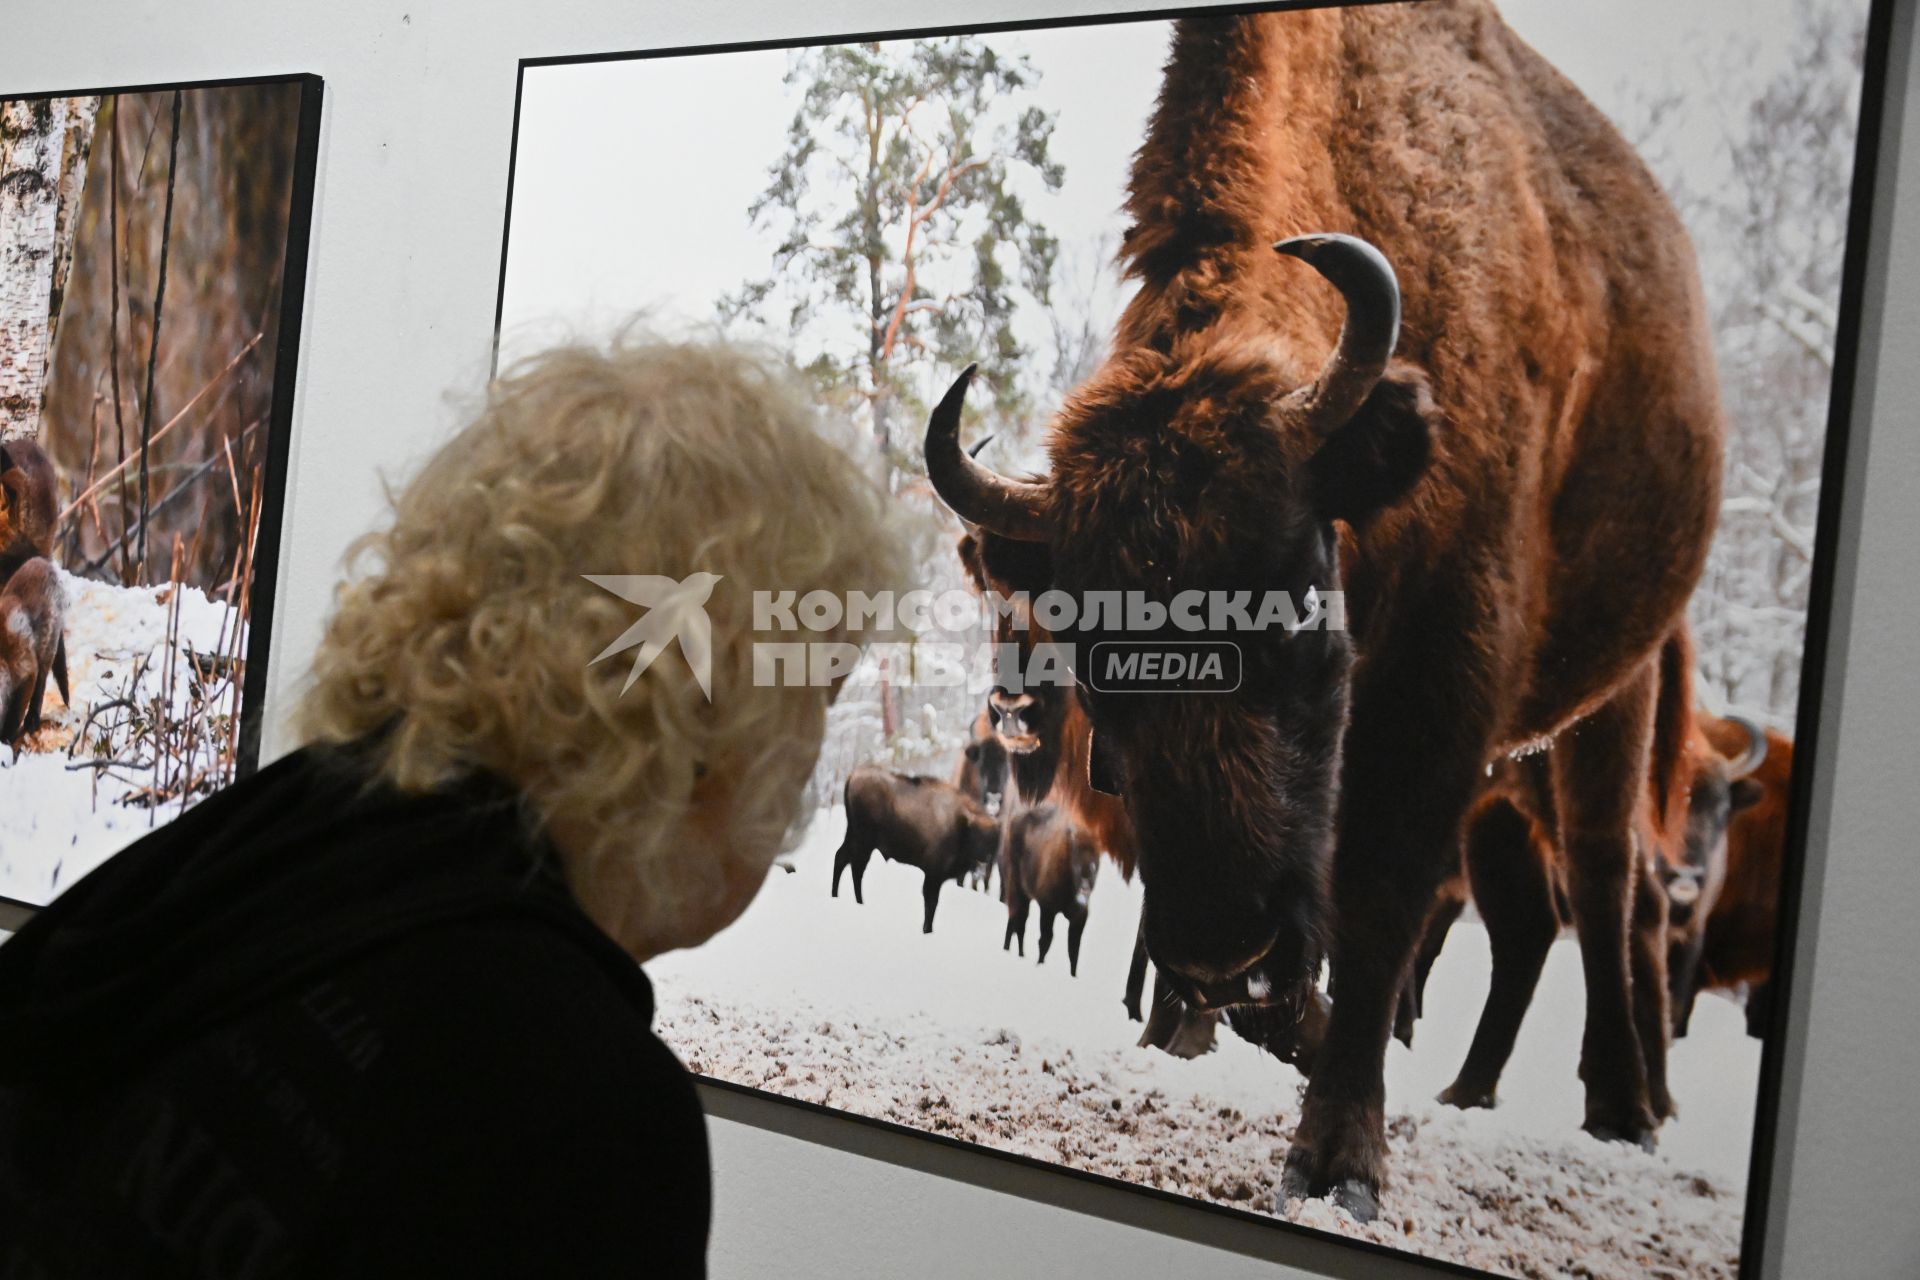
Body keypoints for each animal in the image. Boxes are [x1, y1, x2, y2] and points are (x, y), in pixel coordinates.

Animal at [0, 556, 70, 752]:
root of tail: (40, 561)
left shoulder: (26, 671)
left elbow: (14, 717)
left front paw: (5, 739)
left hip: (47, 651)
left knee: (42, 686)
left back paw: (33, 719)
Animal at [829, 767, 998, 936]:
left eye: (992, 842)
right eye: (976, 836)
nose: (983, 863)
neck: (961, 824)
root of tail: (854, 776)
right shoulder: (933, 875)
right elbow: (931, 903)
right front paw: (927, 930)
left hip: (854, 838)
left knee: (843, 859)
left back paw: (842, 898)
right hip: (863, 842)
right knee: (855, 867)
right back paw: (855, 901)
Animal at [1006, 809, 1098, 982]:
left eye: (1095, 865)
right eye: (1075, 861)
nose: (1083, 894)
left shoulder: (1079, 918)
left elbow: (1074, 950)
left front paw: (1073, 976)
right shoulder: (1048, 909)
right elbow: (1046, 939)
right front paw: (1039, 965)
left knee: (1015, 920)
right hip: (1019, 889)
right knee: (1019, 920)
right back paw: (1019, 954)